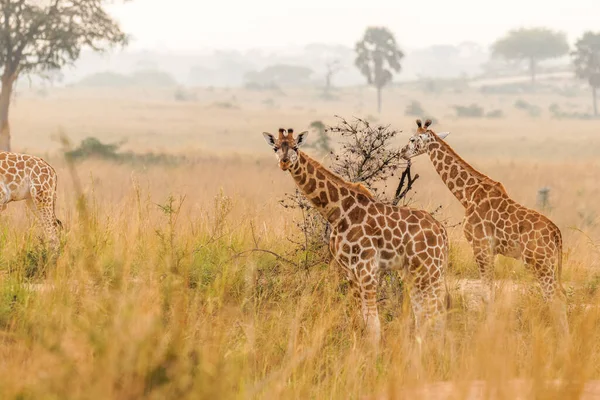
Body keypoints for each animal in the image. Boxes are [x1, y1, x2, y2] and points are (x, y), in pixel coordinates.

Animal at [262, 126, 450, 346]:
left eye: (295, 147)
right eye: (275, 147)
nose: (284, 162)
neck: (337, 212)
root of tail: (442, 232)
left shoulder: (367, 269)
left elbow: (373, 322)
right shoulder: (349, 270)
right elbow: (357, 318)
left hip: (430, 269)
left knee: (436, 313)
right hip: (415, 271)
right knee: (425, 313)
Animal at [398, 119, 568, 334]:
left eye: (412, 139)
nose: (401, 152)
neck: (466, 193)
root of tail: (556, 233)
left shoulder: (480, 245)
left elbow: (486, 293)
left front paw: (488, 330)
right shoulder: (490, 249)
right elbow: (490, 292)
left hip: (539, 262)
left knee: (555, 296)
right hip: (549, 263)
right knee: (559, 294)